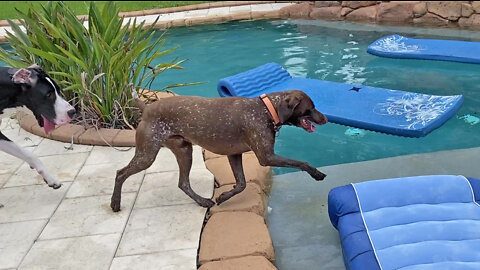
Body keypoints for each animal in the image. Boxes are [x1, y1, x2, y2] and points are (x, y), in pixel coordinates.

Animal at [110, 89, 328, 212]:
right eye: (311, 107)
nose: (326, 119)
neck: (266, 110)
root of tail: (146, 107)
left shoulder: (234, 155)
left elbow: (241, 185)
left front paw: (223, 197)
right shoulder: (266, 157)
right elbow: (301, 162)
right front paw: (316, 173)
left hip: (184, 151)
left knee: (183, 183)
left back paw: (203, 202)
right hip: (147, 154)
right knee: (120, 173)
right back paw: (115, 203)